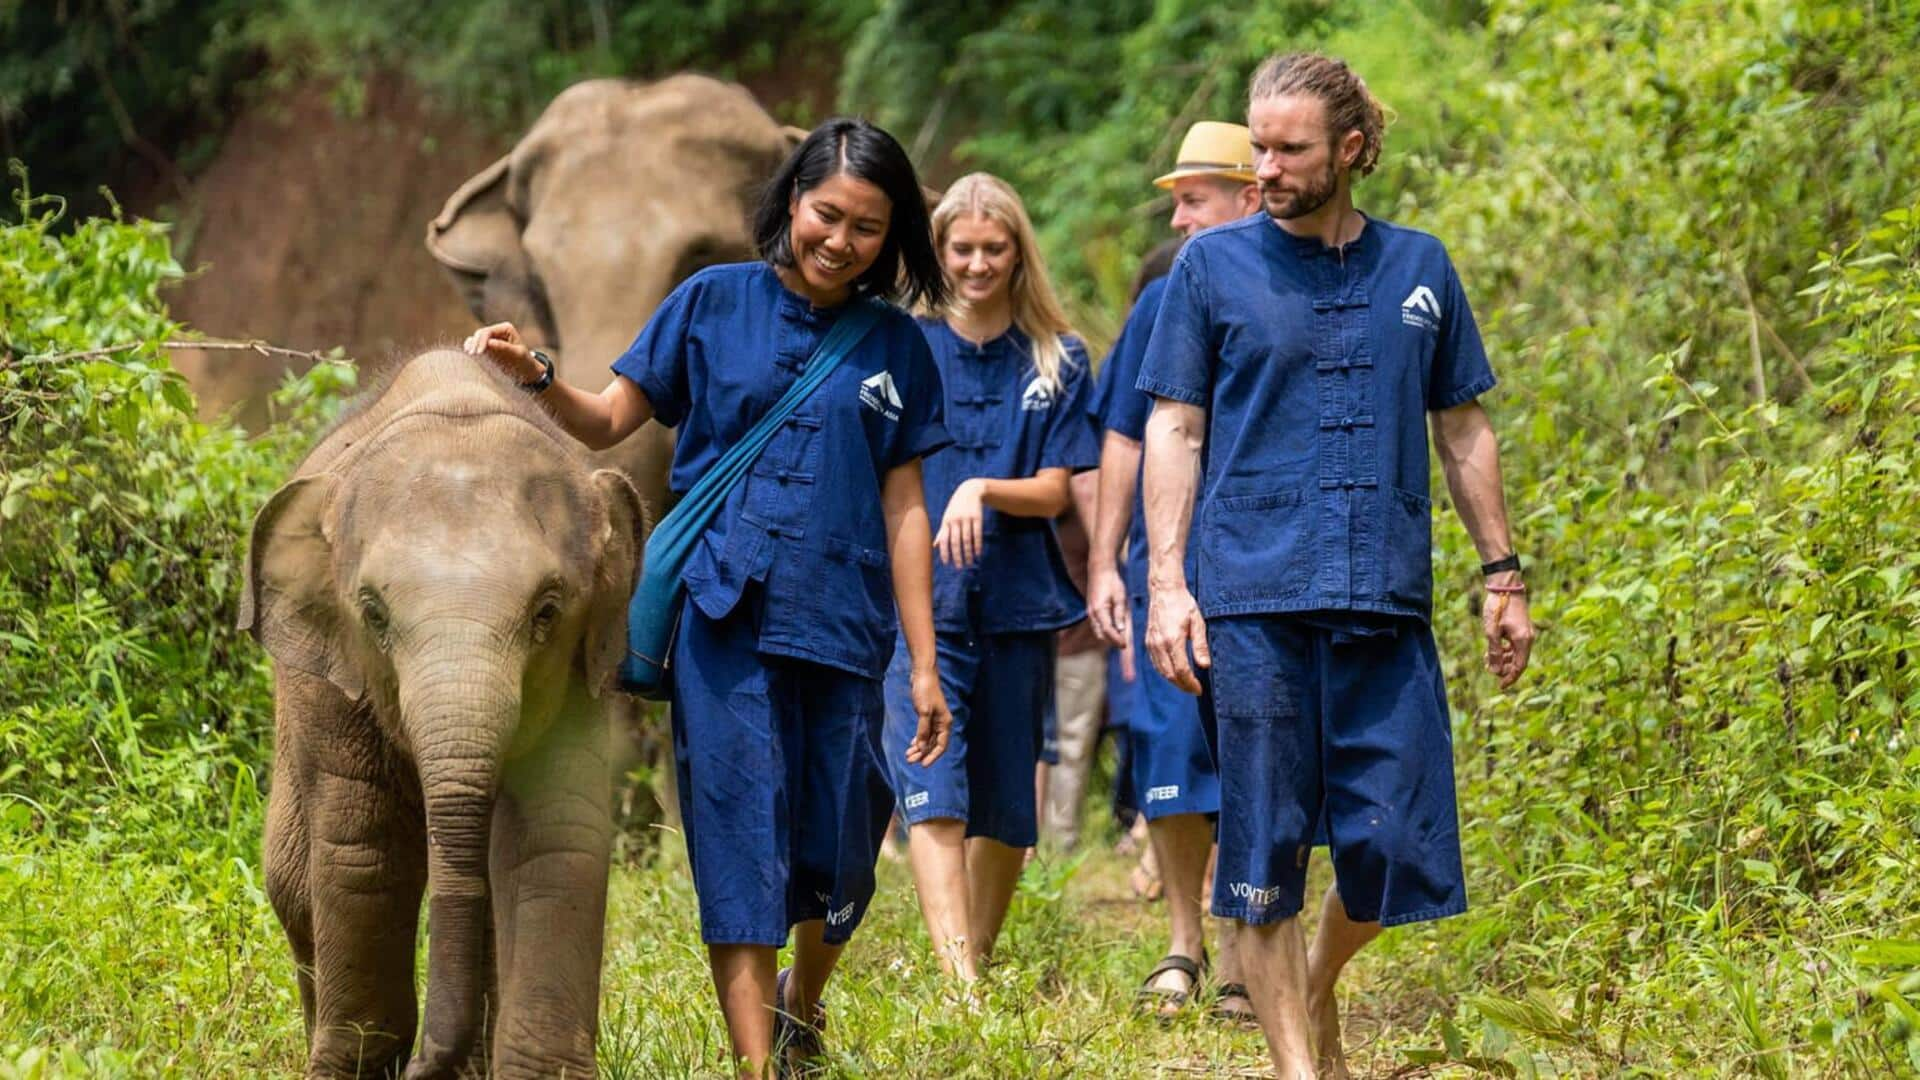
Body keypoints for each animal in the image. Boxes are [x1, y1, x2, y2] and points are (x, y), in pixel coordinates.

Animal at [238, 349, 645, 1068]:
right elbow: (365, 844)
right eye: (373, 614)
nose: (427, 1064)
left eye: (546, 613)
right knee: (292, 880)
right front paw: (356, 1066)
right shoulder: (331, 686)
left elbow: (555, 837)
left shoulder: (578, 676)